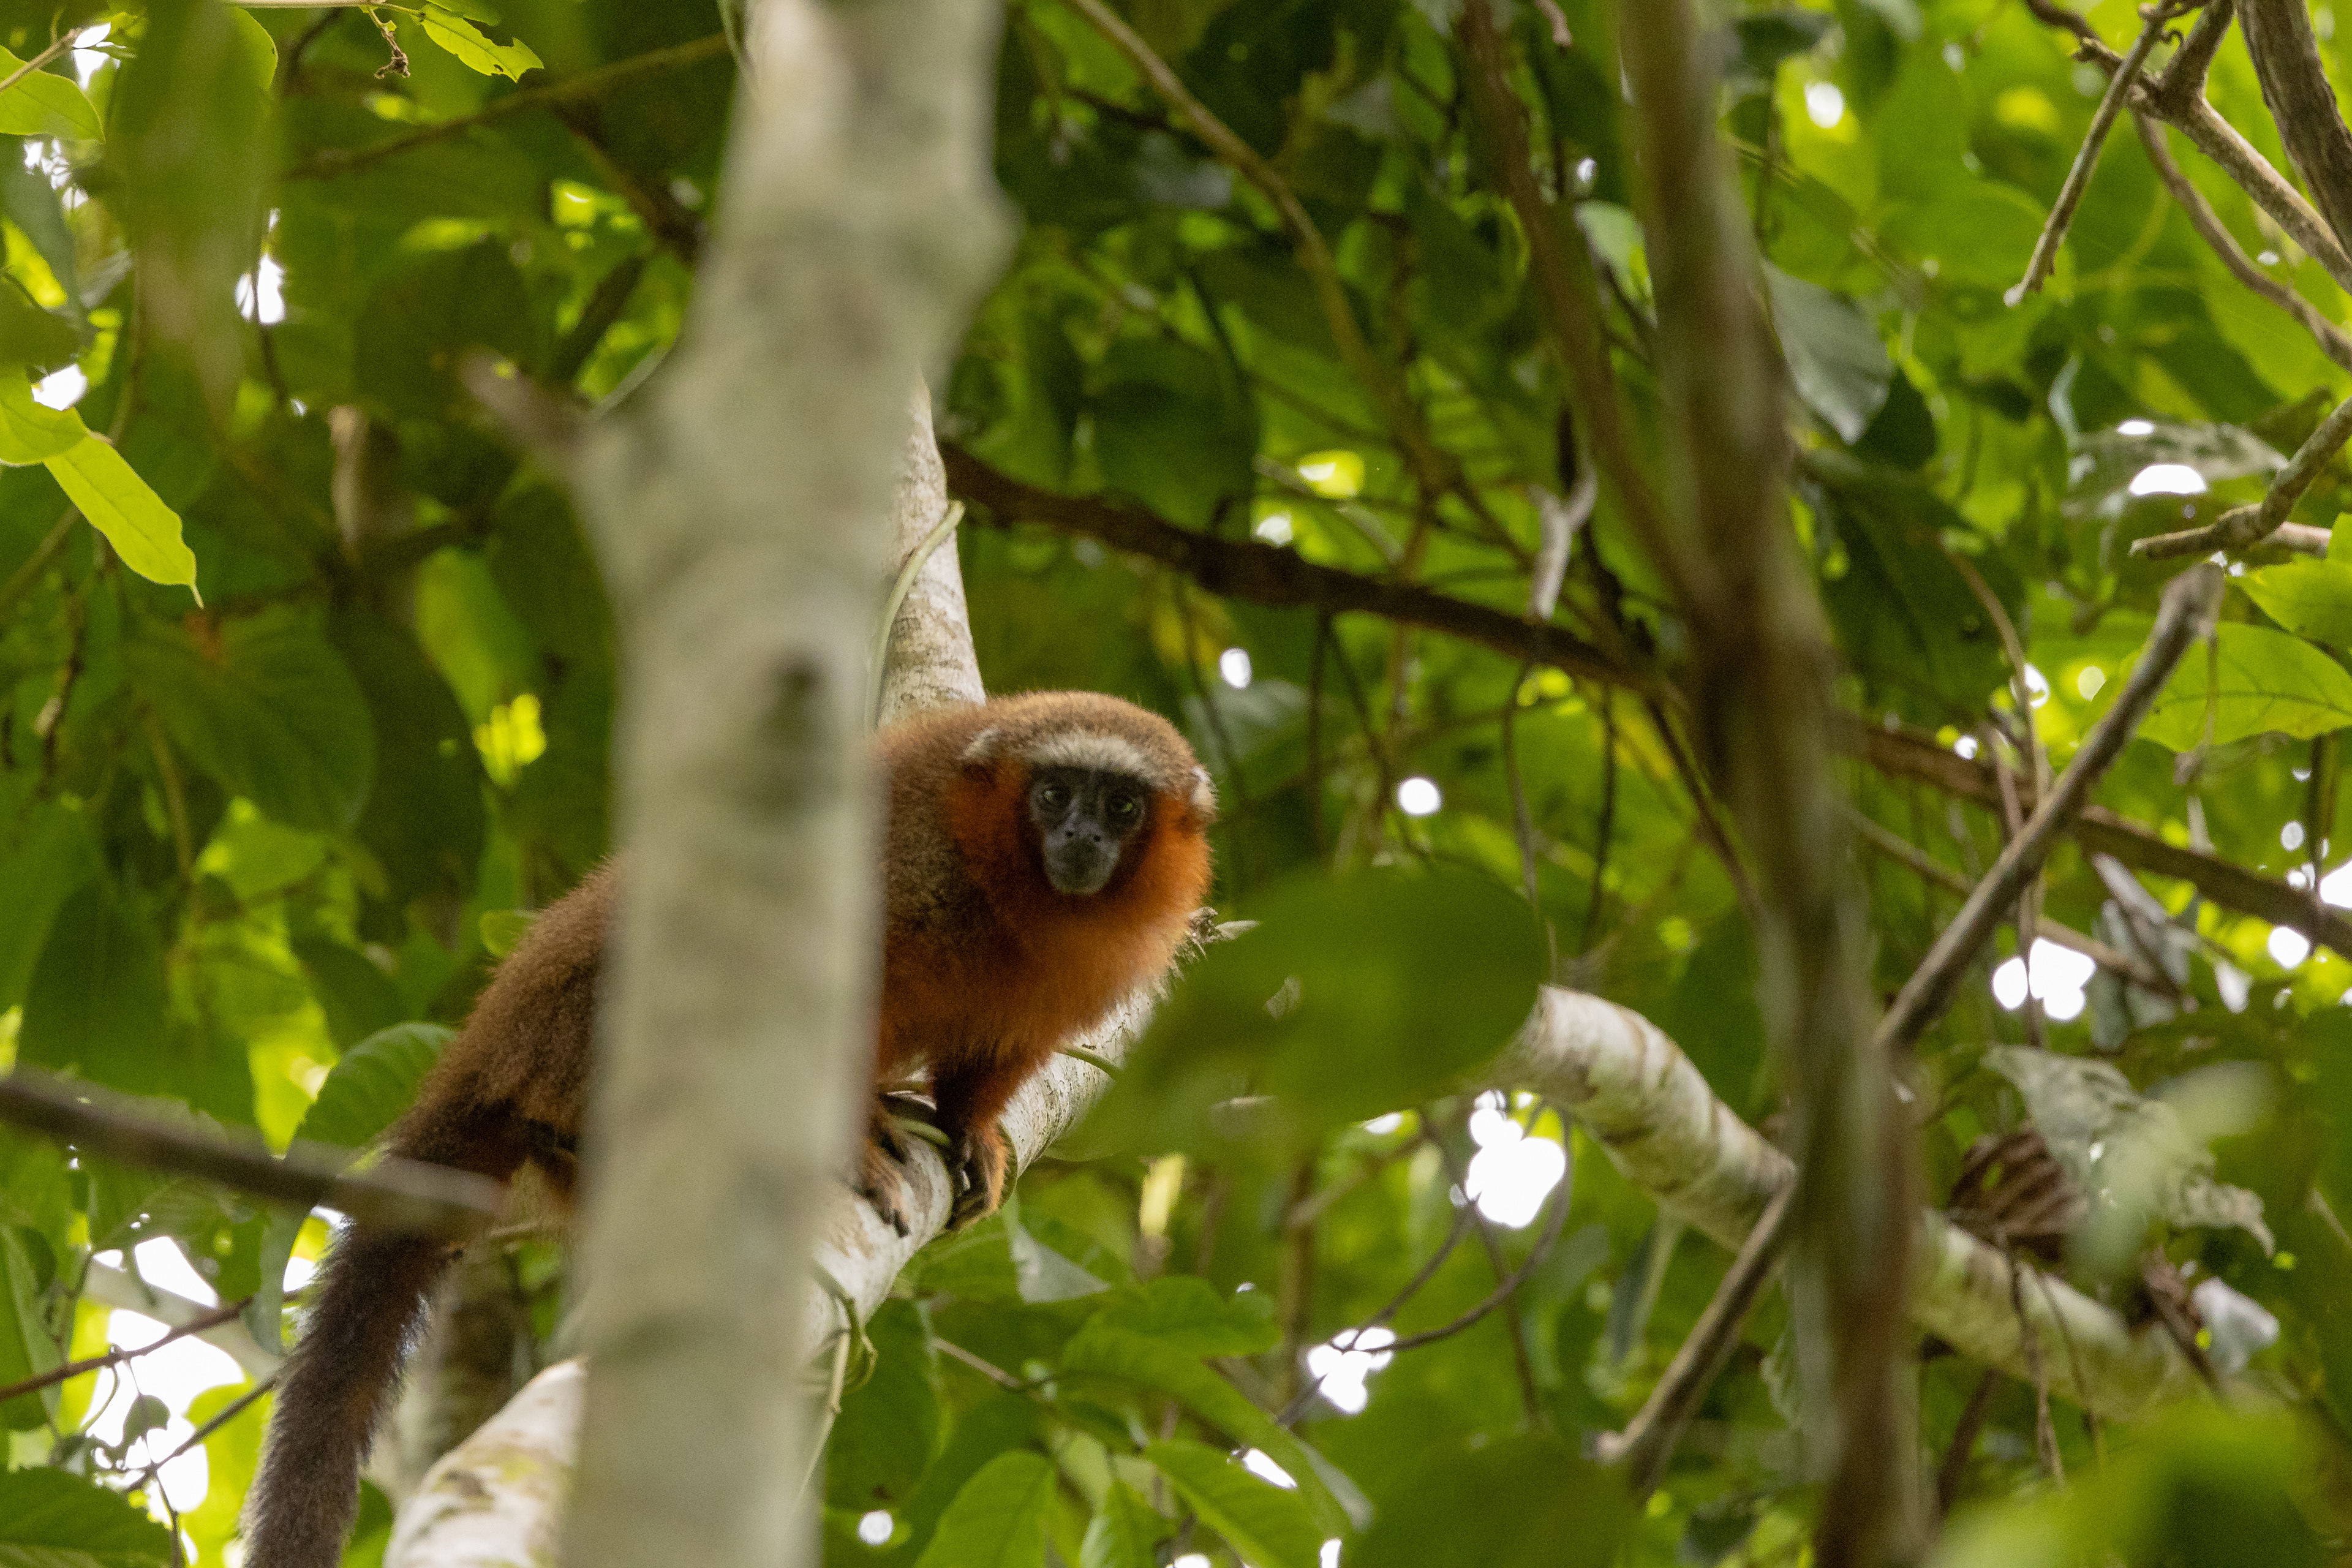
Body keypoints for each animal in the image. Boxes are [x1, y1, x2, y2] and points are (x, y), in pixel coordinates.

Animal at [242, 691, 1216, 1568]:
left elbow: (997, 1051)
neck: (1004, 885)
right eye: (1053, 794)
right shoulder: (906, 870)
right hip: (574, 1037)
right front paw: (857, 1139)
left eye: (1121, 806)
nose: (1082, 837)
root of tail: (492, 1045)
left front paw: (969, 1127)